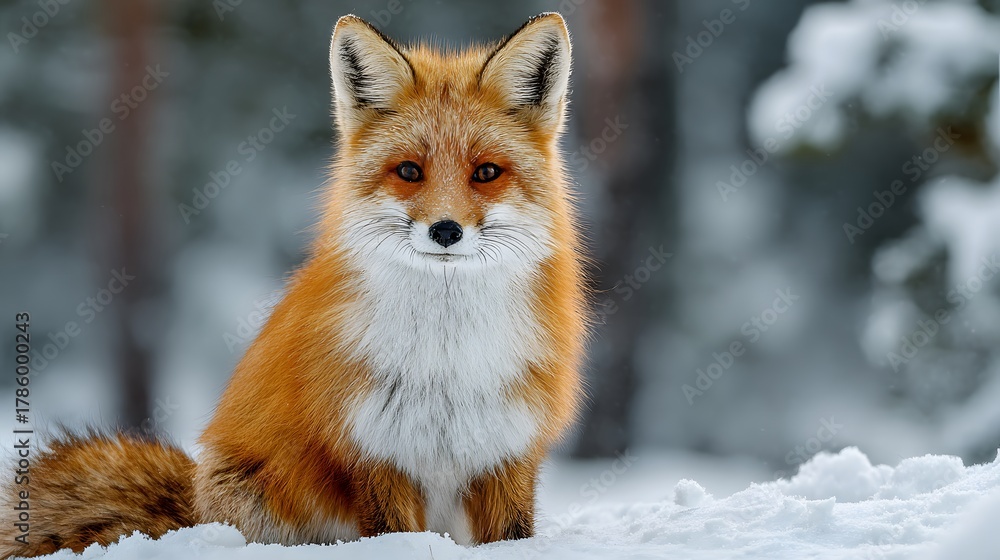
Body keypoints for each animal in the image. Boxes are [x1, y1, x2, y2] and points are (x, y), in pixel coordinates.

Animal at [1, 12, 586, 558]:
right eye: (409, 171)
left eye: (486, 172)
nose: (445, 230)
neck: (446, 361)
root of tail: (196, 506)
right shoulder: (371, 452)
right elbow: (394, 532)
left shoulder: (509, 451)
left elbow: (512, 535)